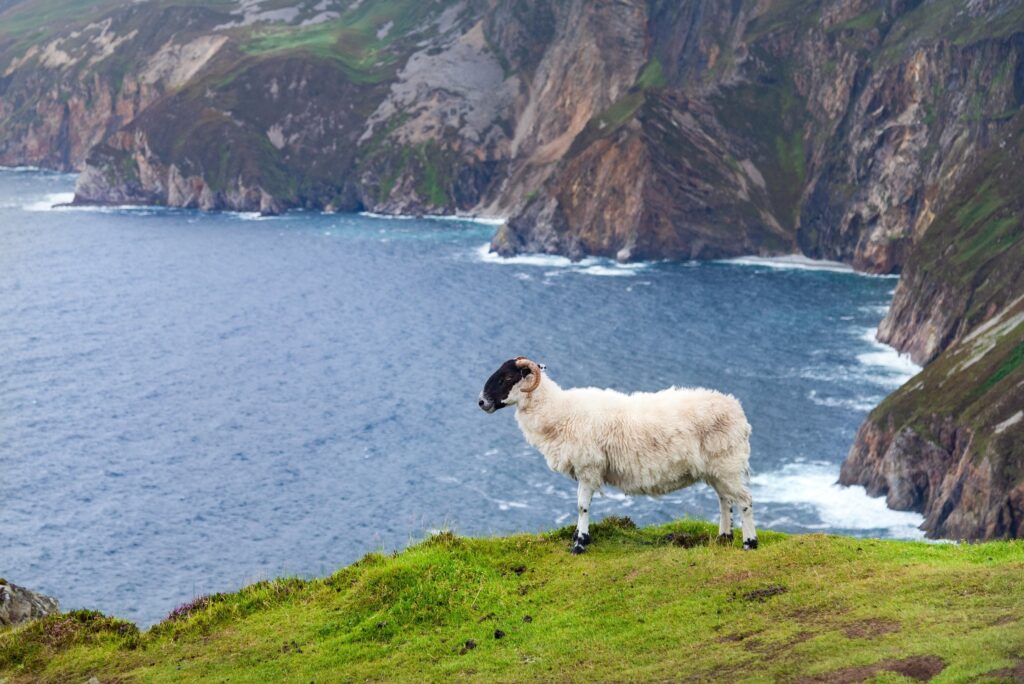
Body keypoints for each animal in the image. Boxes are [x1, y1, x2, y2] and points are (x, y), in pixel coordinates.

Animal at [478, 357, 757, 554]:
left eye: (507, 377)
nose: (481, 402)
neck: (559, 412)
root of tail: (737, 409)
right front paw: (578, 537)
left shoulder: (588, 467)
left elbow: (582, 505)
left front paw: (580, 544)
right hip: (717, 468)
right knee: (724, 499)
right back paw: (723, 538)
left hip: (728, 463)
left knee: (744, 500)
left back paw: (749, 543)